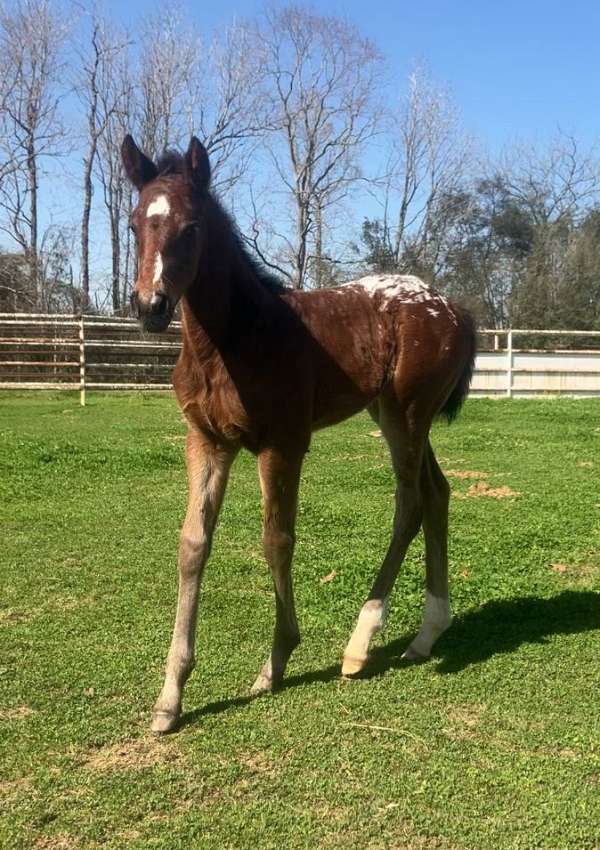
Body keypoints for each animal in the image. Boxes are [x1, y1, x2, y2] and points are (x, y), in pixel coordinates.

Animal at [123, 132, 478, 728]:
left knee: (410, 502)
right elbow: (193, 545)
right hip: (394, 414)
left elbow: (277, 540)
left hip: (408, 415)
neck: (234, 338)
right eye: (133, 224)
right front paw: (170, 697)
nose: (150, 306)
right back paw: (426, 635)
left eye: (191, 227)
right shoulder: (207, 442)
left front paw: (276, 662)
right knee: (437, 493)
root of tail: (450, 306)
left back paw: (361, 642)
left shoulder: (282, 444)